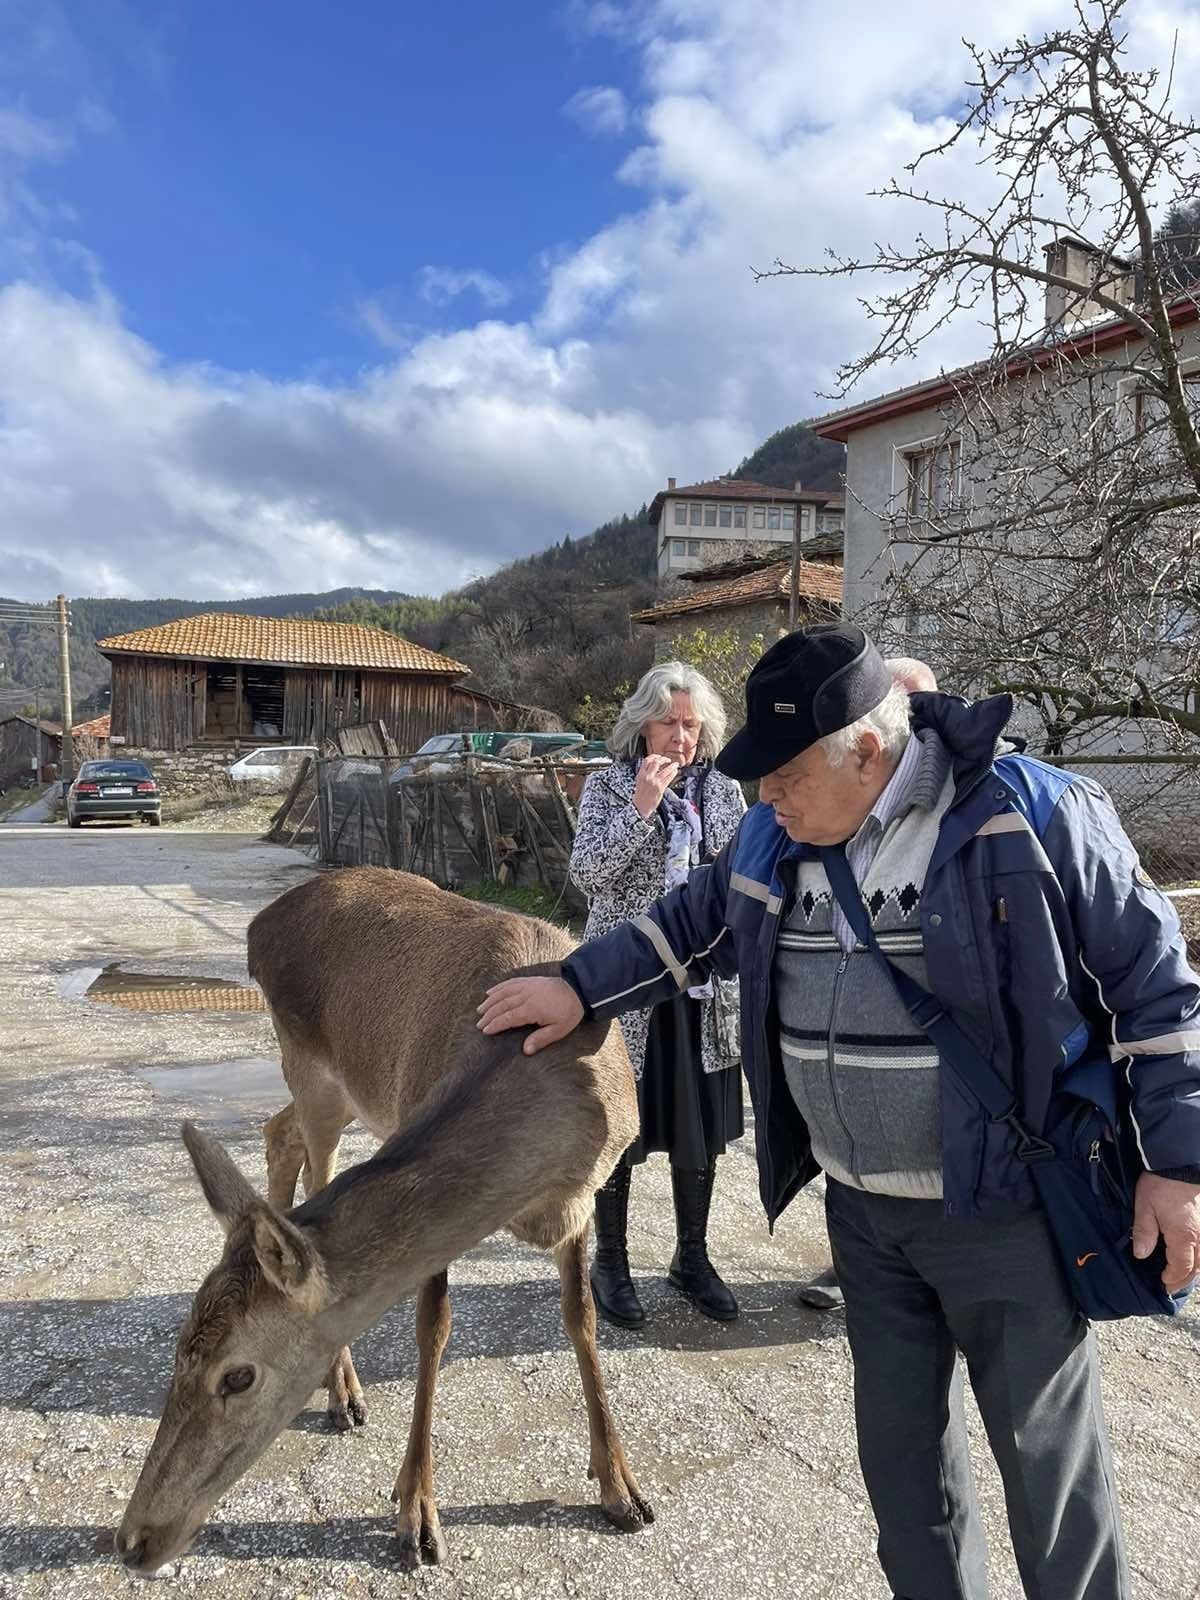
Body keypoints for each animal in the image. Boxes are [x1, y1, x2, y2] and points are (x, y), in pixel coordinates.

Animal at [117, 864, 652, 1574]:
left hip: (338, 1090)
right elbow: (433, 1328)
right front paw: (416, 1515)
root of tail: (260, 925)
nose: (132, 1539)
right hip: (309, 1068)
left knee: (279, 1135)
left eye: (237, 1375)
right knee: (306, 1161)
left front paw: (622, 1487)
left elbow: (581, 1319)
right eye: (178, 1349)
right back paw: (344, 1392)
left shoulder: (585, 1194)